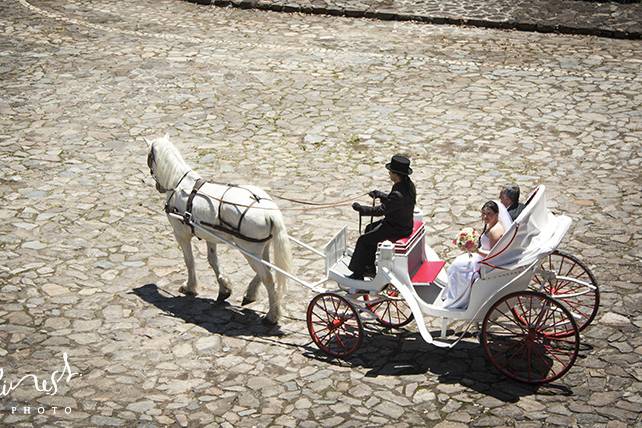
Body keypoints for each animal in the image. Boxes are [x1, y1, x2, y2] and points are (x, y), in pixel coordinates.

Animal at [144, 135, 292, 324]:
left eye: (149, 158)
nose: (159, 188)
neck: (179, 184)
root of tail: (269, 211)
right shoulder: (210, 237)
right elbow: (212, 261)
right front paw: (224, 288)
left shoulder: (181, 234)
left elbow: (189, 261)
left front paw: (190, 287)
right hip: (261, 247)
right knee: (267, 269)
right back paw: (251, 293)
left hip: (249, 249)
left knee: (268, 277)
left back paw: (272, 315)